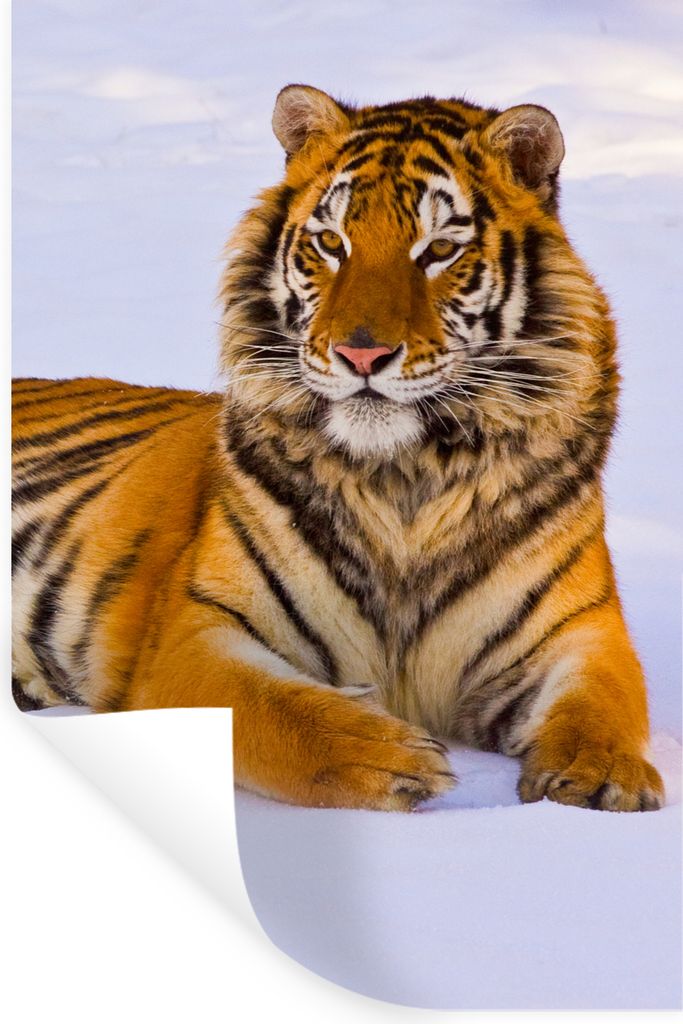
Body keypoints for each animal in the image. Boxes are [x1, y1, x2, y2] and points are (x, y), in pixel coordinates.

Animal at [12, 85, 664, 812]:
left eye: (439, 250)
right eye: (331, 242)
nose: (362, 355)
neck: (406, 476)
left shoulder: (581, 632)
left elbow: (601, 705)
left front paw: (600, 777)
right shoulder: (193, 633)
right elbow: (270, 707)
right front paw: (390, 755)